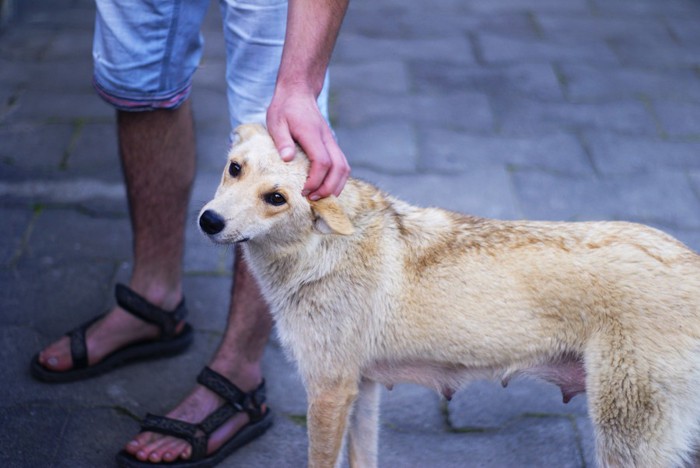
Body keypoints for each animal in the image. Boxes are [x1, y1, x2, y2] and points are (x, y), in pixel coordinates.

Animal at [197, 124, 700, 468]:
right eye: (235, 169)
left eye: (276, 198)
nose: (208, 222)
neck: (321, 250)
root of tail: (690, 262)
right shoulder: (361, 387)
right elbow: (362, 456)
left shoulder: (328, 389)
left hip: (625, 435)